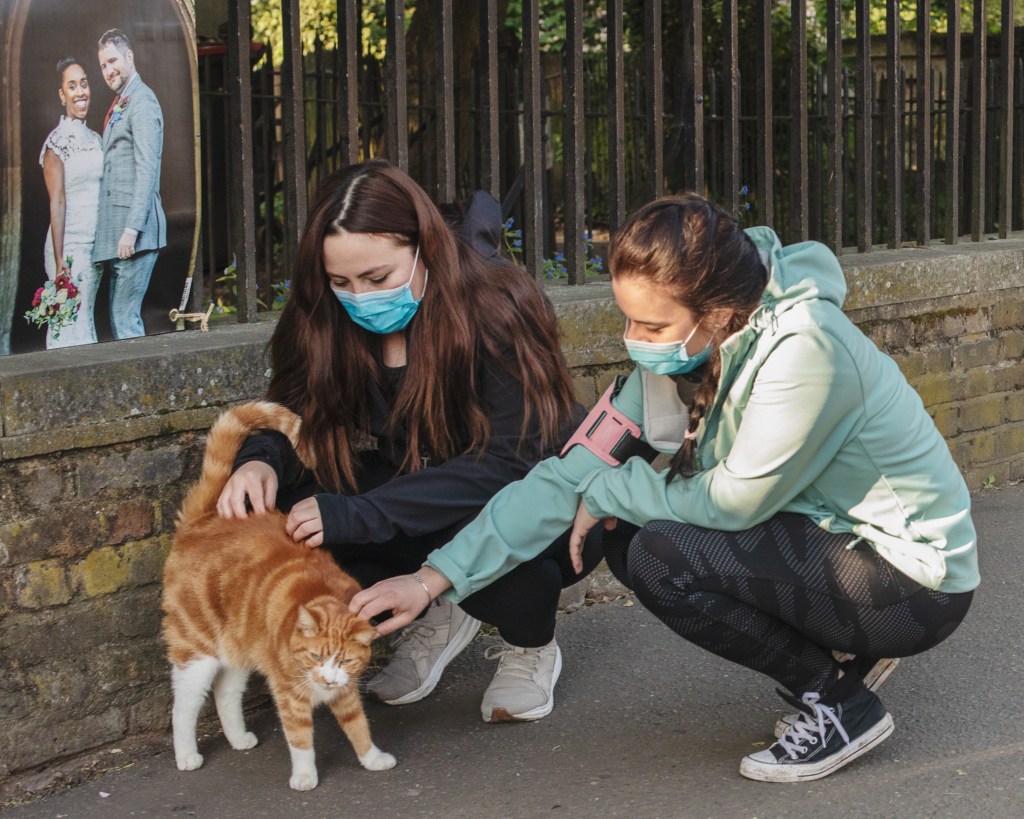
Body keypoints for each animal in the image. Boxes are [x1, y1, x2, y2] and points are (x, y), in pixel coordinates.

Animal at [160, 399, 395, 790]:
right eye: (316, 657)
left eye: (345, 661)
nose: (326, 679)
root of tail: (203, 521)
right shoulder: (289, 692)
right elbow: (299, 738)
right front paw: (305, 776)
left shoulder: (346, 689)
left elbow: (358, 725)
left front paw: (372, 758)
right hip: (197, 653)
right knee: (184, 707)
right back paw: (186, 755)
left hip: (239, 646)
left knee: (226, 694)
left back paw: (239, 738)